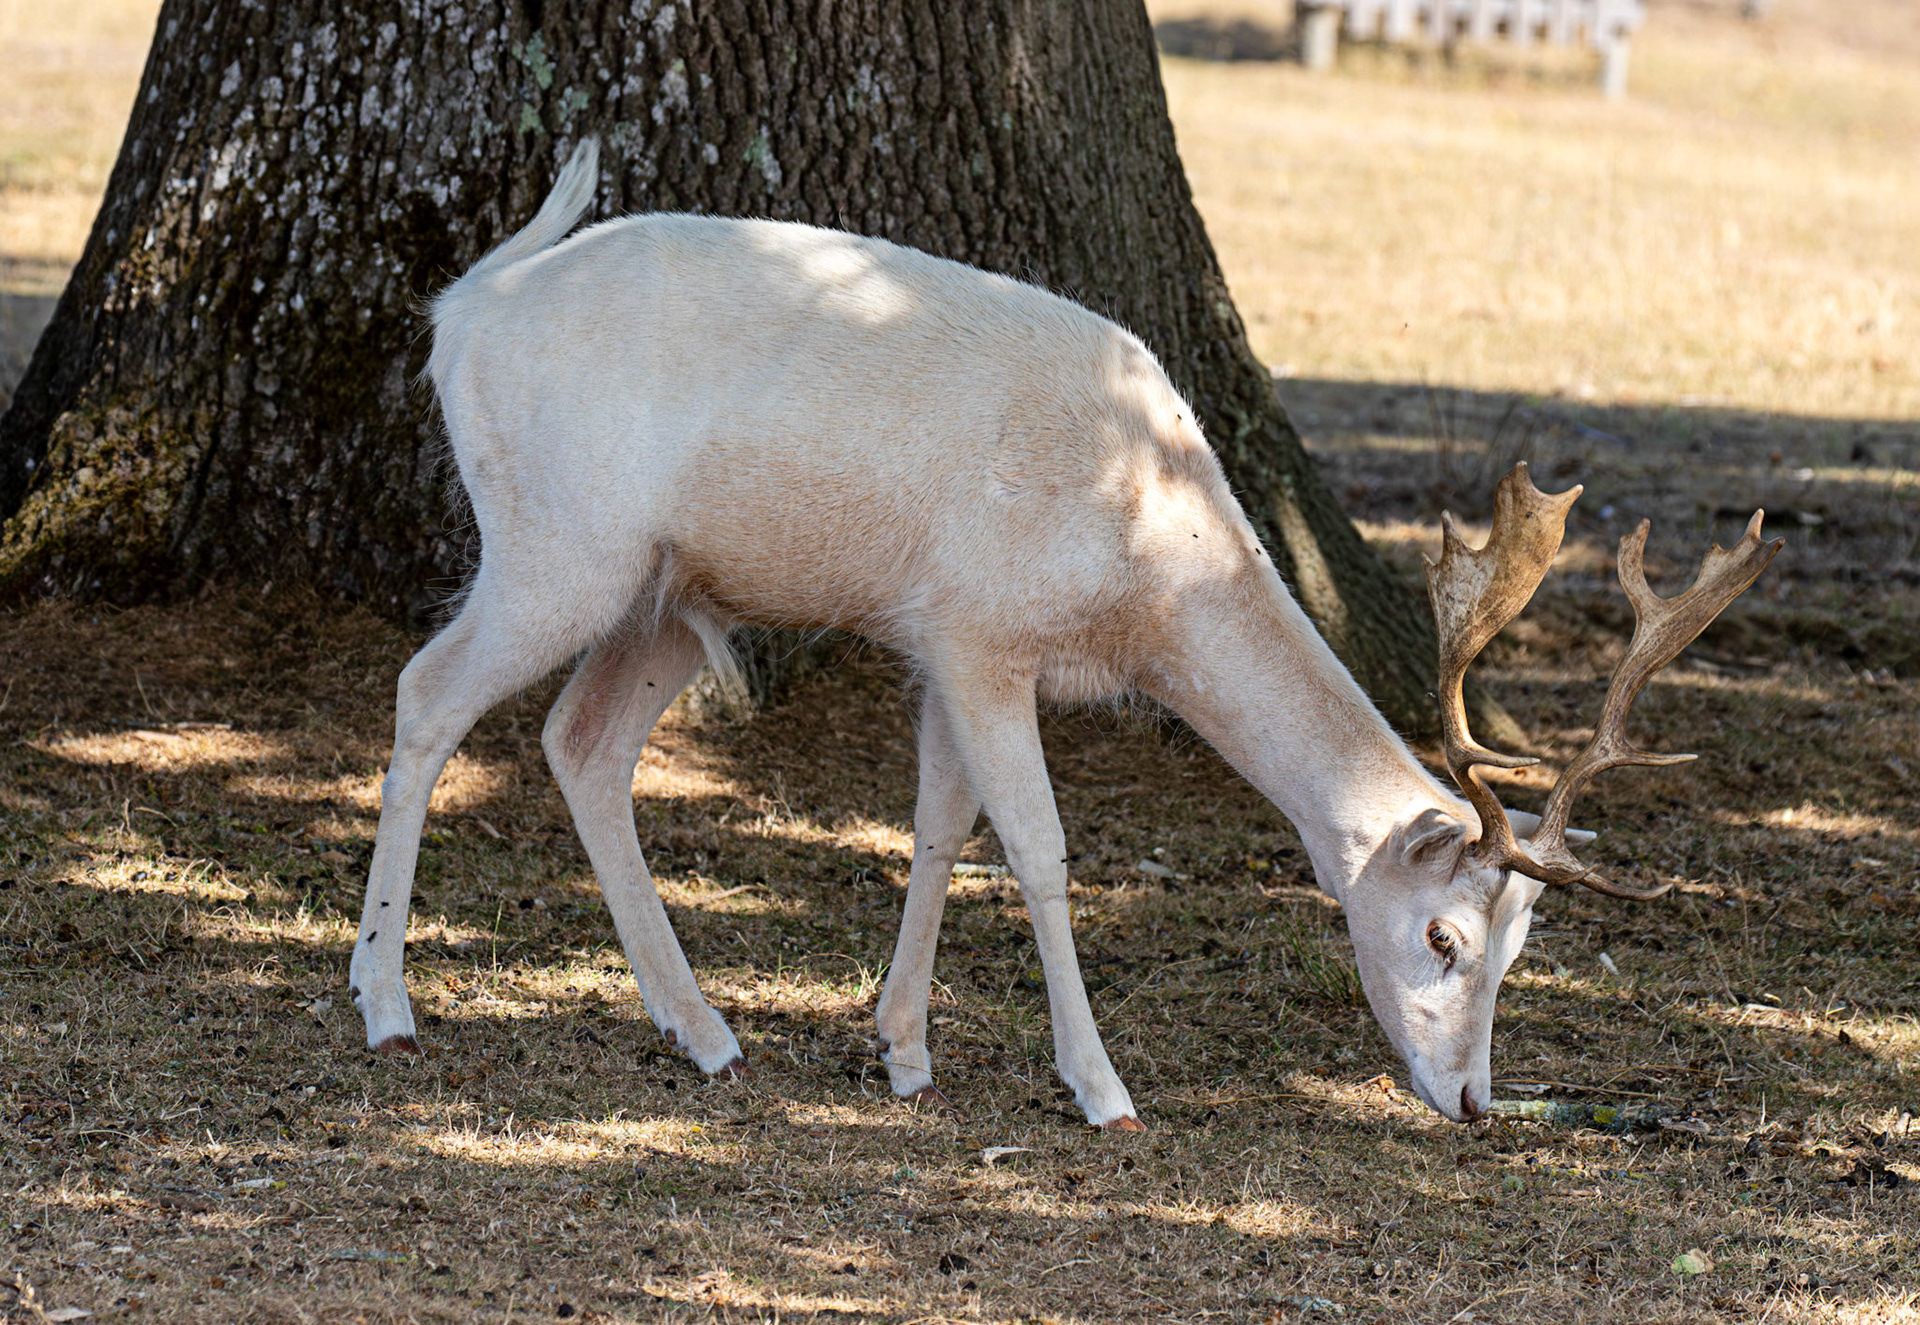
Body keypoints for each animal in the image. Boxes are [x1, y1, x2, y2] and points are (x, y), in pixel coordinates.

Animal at [349, 139, 1781, 1129]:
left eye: (1523, 947)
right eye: (1442, 937)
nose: (1476, 1098)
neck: (1142, 555)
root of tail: (464, 308)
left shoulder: (939, 642)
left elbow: (938, 825)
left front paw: (903, 1048)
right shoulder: (986, 632)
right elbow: (1037, 850)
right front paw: (1100, 1087)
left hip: (669, 598)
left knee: (579, 741)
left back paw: (702, 1029)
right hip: (558, 541)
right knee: (425, 692)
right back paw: (386, 1005)